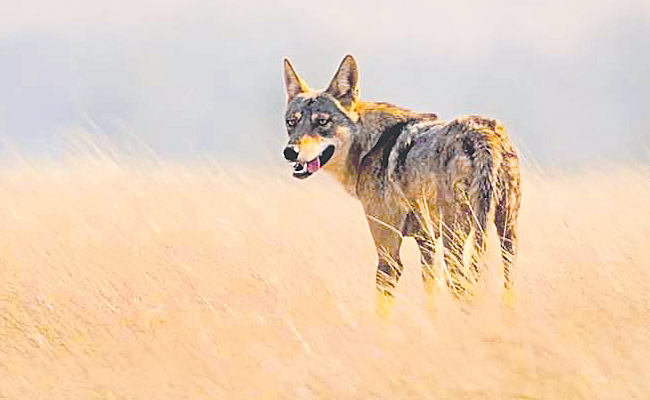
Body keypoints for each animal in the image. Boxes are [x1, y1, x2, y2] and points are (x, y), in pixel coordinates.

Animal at [281, 55, 521, 316]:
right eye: (291, 123)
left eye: (322, 122)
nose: (289, 152)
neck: (369, 146)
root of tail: (483, 135)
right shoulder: (426, 243)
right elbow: (430, 297)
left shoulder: (389, 256)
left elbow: (381, 312)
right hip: (506, 239)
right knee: (507, 288)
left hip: (458, 243)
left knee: (464, 289)